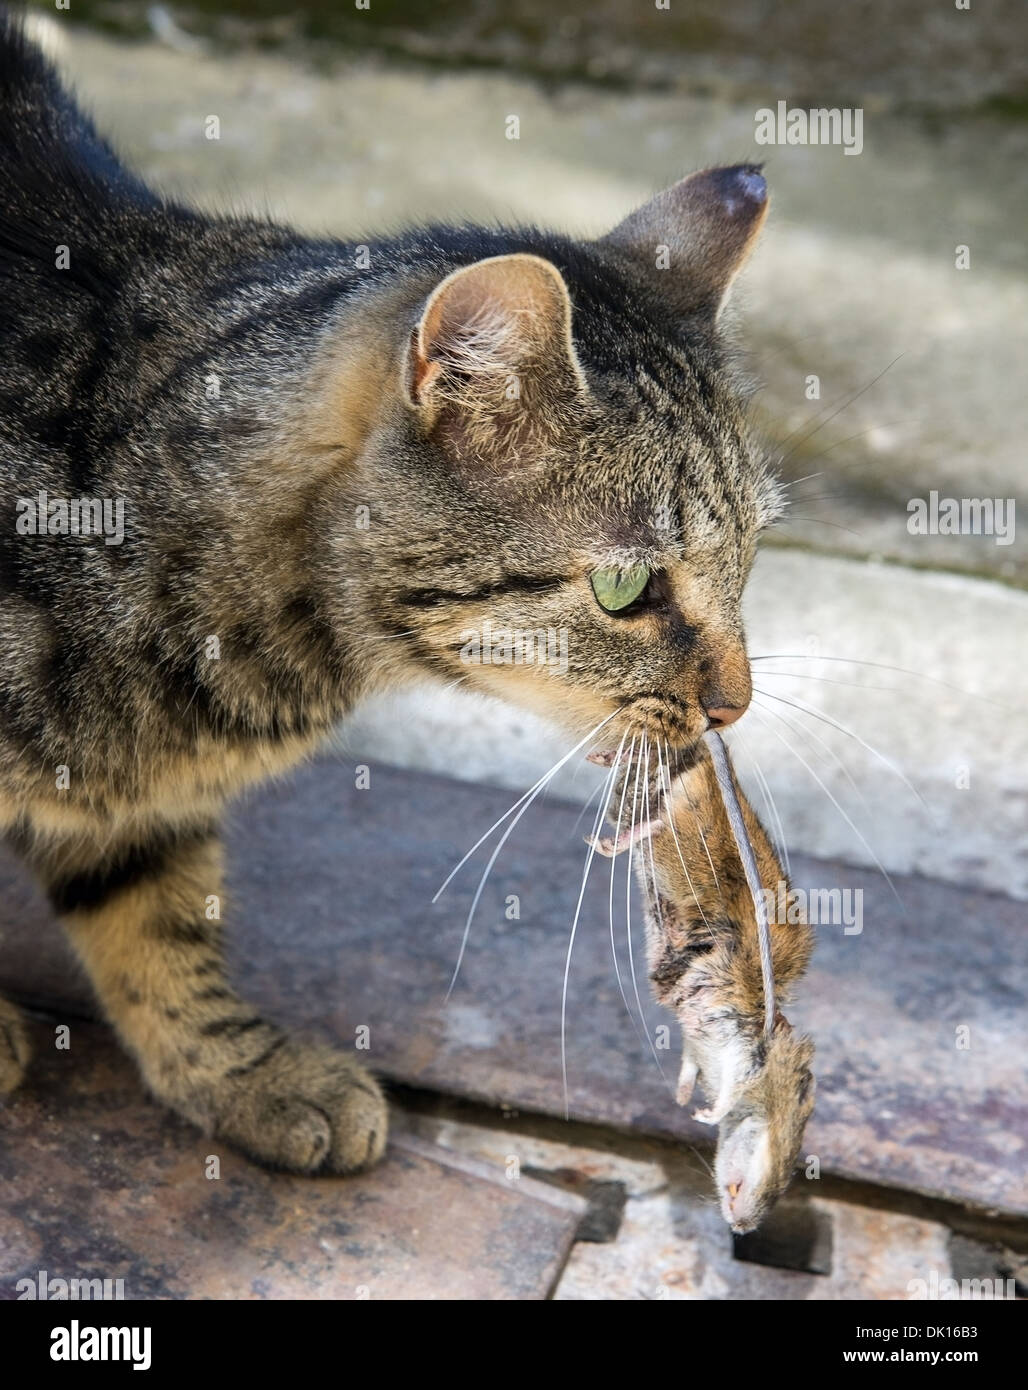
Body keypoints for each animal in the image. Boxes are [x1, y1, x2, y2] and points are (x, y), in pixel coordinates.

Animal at [0, 13, 783, 1173]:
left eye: (752, 556)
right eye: (624, 586)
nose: (736, 703)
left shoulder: (140, 806)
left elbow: (157, 921)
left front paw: (245, 1072)